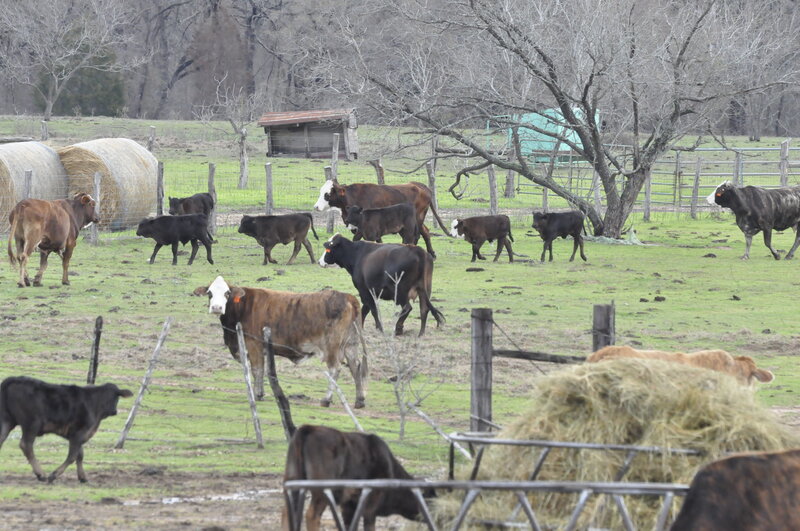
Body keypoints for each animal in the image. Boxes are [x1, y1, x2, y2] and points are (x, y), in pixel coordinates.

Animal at [0, 376, 132, 483]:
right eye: (114, 397)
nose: (114, 411)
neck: (94, 403)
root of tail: (14, 379)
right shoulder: (79, 433)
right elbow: (72, 457)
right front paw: (53, 475)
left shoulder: (78, 435)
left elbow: (80, 455)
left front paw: (83, 477)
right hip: (31, 424)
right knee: (26, 445)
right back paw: (41, 474)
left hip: (8, 421)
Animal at [194, 276, 368, 407]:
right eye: (209, 293)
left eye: (227, 293)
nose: (216, 308)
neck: (243, 306)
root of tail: (347, 296)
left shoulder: (253, 343)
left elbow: (257, 369)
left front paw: (258, 394)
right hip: (350, 344)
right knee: (355, 366)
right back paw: (359, 400)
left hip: (333, 346)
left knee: (335, 368)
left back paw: (326, 400)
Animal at [281, 424, 434, 531]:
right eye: (431, 499)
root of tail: (309, 428)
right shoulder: (370, 507)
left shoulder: (349, 505)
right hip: (321, 491)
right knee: (312, 515)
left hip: (292, 482)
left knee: (287, 513)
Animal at [313, 180, 449, 258]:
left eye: (327, 194)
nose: (316, 207)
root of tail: (419, 185)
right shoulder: (361, 229)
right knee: (425, 232)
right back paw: (431, 253)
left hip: (416, 220)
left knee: (415, 236)